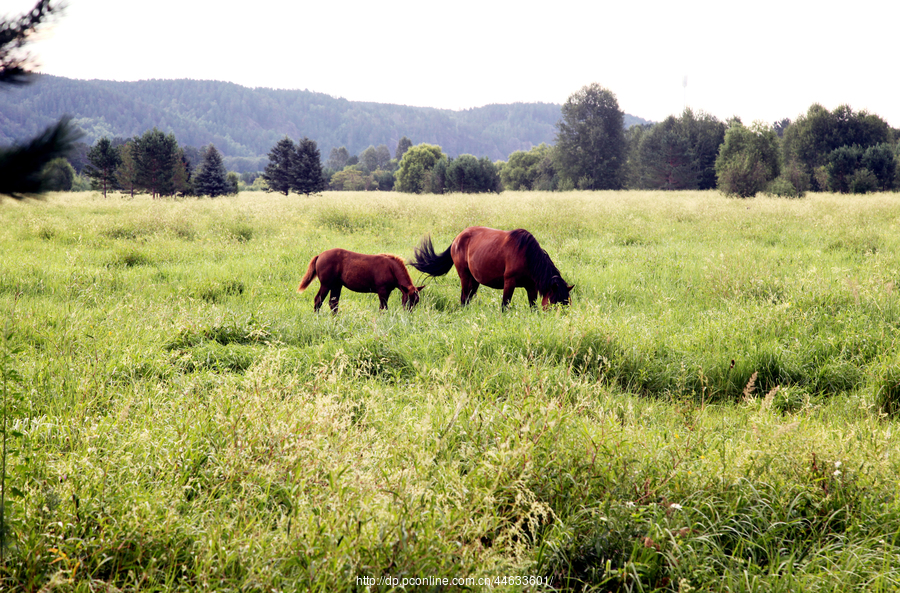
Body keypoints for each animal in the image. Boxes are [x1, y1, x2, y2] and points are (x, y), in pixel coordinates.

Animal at [412, 225, 572, 310]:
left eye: (567, 303)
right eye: (555, 302)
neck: (527, 255)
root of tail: (457, 238)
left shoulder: (531, 286)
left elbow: (533, 307)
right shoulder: (509, 282)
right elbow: (505, 305)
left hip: (474, 280)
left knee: (468, 298)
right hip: (464, 276)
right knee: (464, 298)